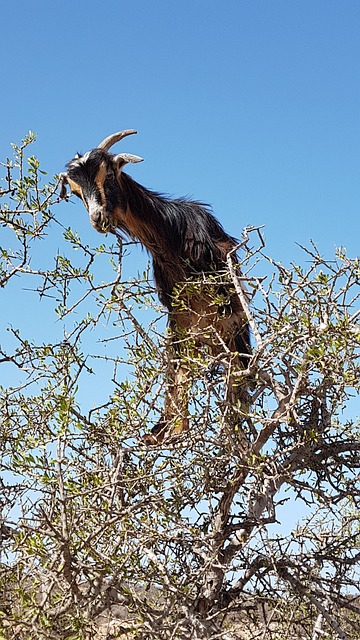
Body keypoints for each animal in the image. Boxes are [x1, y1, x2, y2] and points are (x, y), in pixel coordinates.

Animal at [59, 127, 250, 442]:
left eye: (108, 174)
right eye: (76, 192)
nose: (98, 219)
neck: (172, 236)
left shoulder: (220, 309)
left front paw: (176, 429)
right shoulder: (178, 314)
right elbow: (176, 366)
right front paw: (170, 430)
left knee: (237, 376)